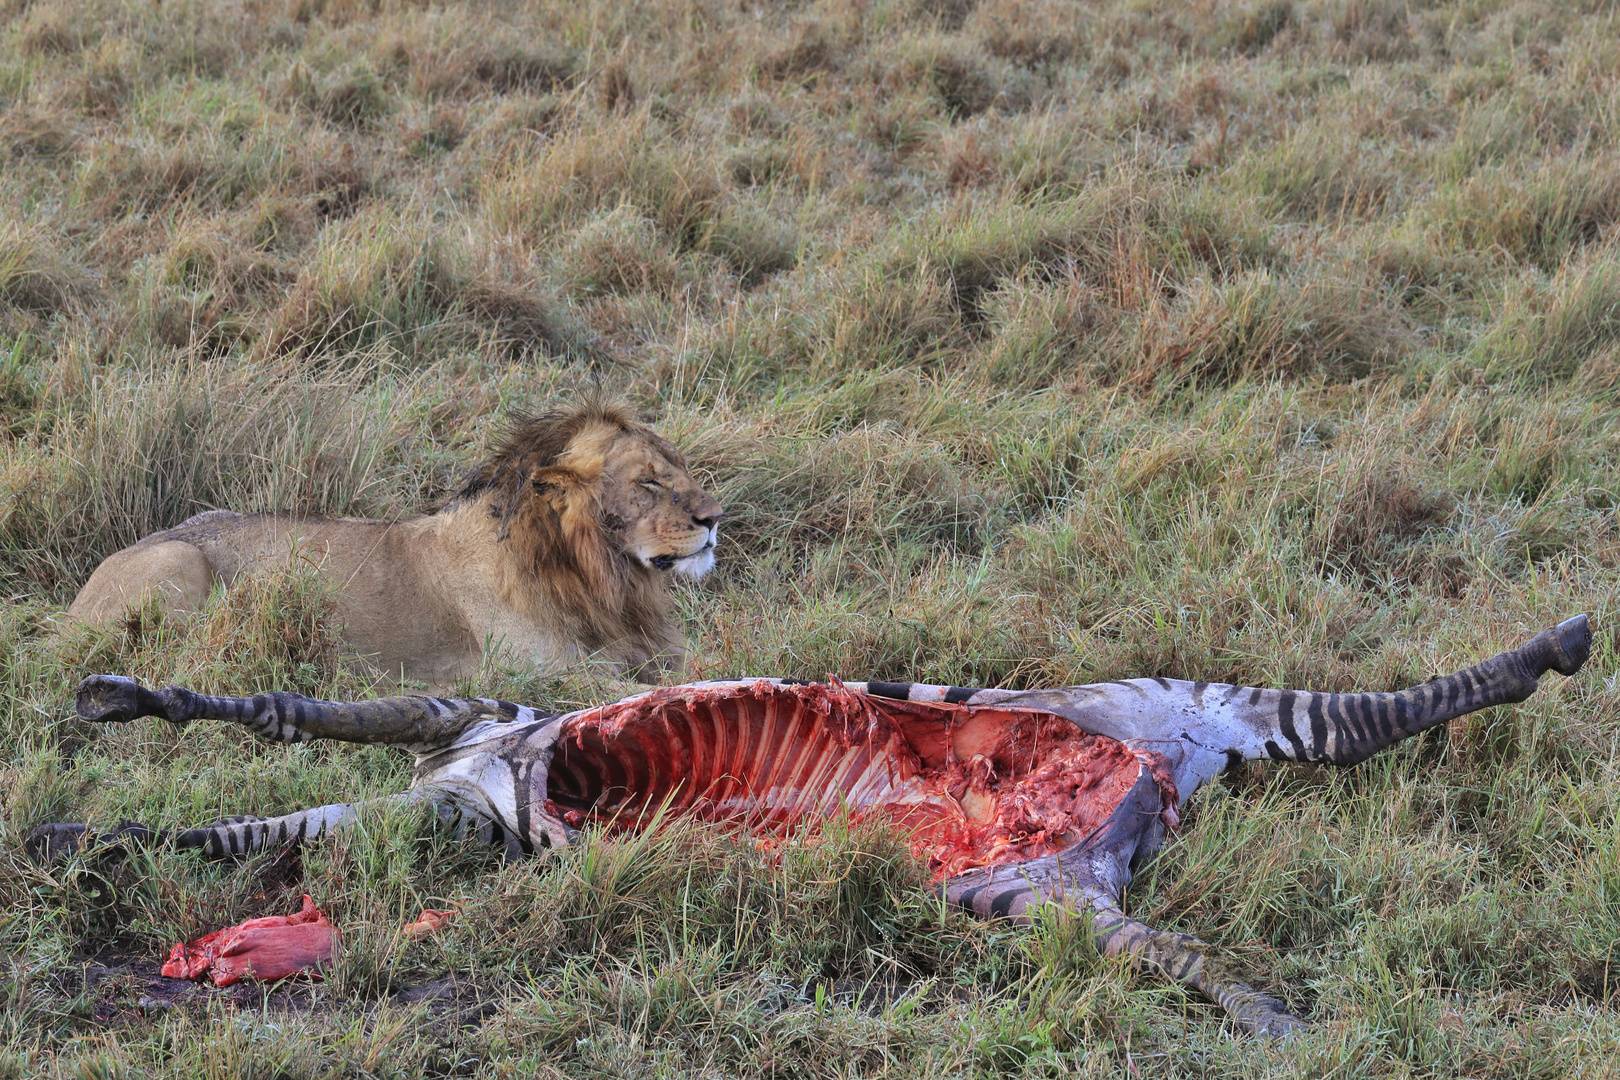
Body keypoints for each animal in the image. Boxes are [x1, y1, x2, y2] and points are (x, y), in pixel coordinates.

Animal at [64, 399, 722, 693]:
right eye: (649, 483)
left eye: (684, 468)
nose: (716, 517)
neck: (606, 582)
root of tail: (71, 608)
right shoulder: (545, 677)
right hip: (177, 559)